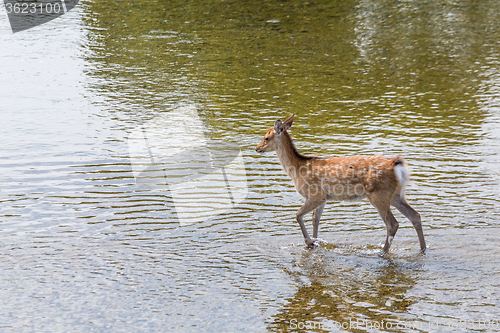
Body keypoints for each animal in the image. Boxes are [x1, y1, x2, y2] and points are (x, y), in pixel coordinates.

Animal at [258, 114, 426, 252]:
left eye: (266, 137)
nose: (257, 148)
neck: (297, 169)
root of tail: (396, 164)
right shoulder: (323, 198)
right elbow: (315, 219)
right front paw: (315, 241)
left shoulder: (315, 194)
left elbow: (298, 215)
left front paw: (309, 242)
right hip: (396, 194)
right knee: (415, 215)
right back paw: (423, 249)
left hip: (379, 194)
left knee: (392, 224)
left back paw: (382, 252)